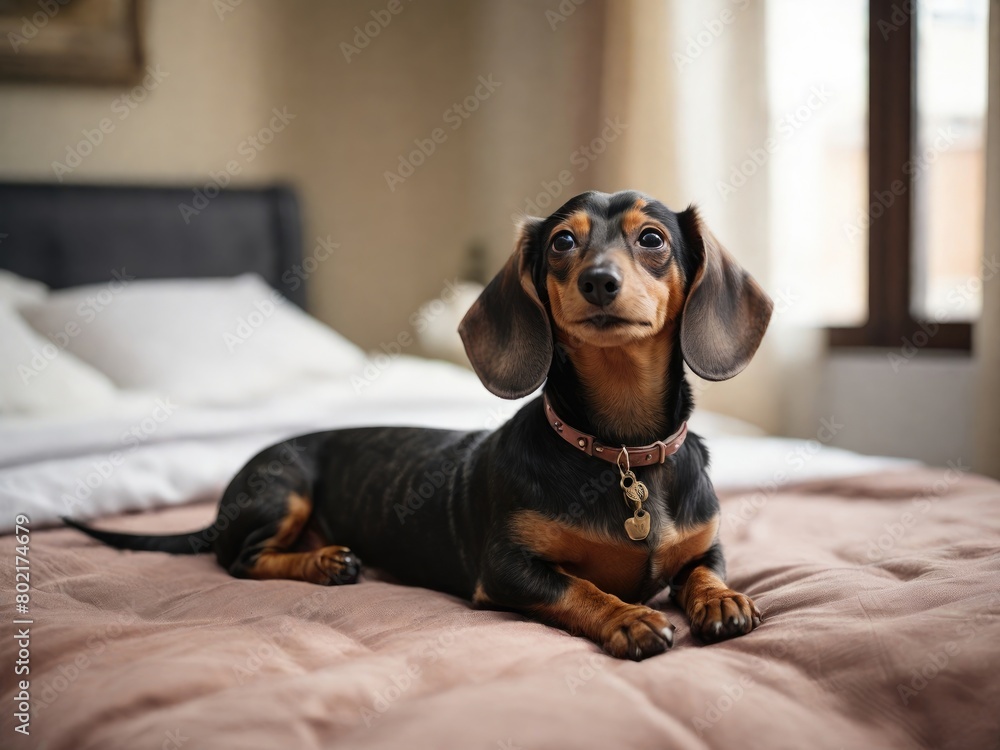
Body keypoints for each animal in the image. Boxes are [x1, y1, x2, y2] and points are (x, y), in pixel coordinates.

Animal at [66, 191, 772, 660]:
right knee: (241, 559)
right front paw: (628, 617)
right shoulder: (507, 569)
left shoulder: (703, 545)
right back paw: (323, 561)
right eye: (562, 243)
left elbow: (703, 569)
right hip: (282, 489)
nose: (600, 281)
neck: (621, 451)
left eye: (651, 239)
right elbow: (578, 588)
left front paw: (721, 599)